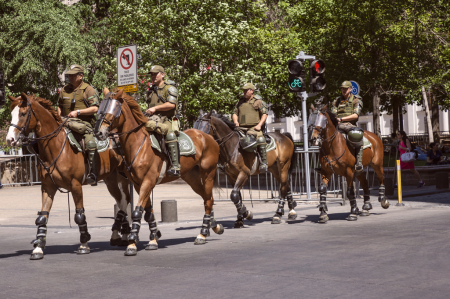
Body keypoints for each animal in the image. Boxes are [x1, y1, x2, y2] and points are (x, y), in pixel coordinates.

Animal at [5, 94, 132, 260]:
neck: (56, 146)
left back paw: (123, 234)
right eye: (11, 113)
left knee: (124, 200)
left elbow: (79, 215)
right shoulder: (47, 187)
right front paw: (38, 247)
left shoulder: (75, 185)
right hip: (110, 179)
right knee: (121, 201)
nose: (9, 139)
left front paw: (84, 244)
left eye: (23, 113)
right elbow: (43, 216)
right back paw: (119, 235)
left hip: (123, 177)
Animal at [94, 88, 224, 256]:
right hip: (192, 177)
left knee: (208, 200)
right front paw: (153, 239)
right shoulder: (139, 184)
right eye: (100, 109)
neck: (138, 144)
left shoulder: (147, 181)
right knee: (207, 199)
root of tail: (207, 137)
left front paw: (132, 243)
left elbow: (137, 212)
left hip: (208, 173)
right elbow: (148, 212)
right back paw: (213, 226)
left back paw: (202, 234)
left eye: (113, 110)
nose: (98, 133)